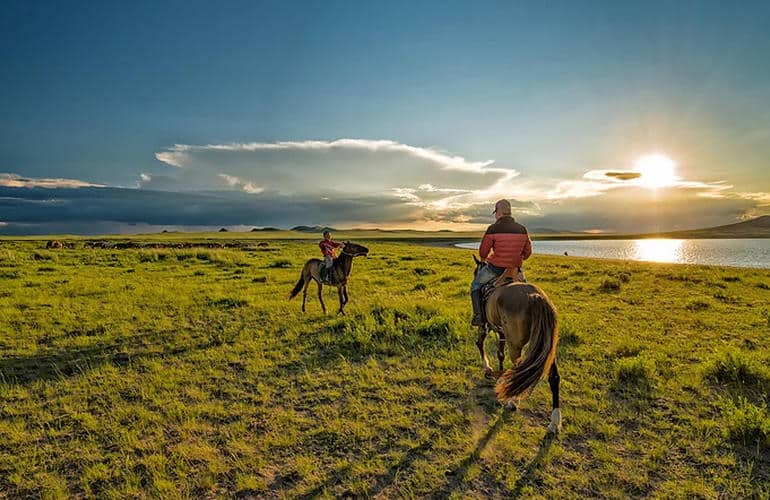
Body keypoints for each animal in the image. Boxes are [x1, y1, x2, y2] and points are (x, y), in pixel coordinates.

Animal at [472, 256, 560, 432]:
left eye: (475, 272)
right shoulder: (501, 332)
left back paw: (512, 402)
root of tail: (535, 297)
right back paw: (554, 421)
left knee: (519, 370)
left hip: (515, 345)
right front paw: (499, 376)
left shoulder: (487, 326)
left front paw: (488, 369)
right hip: (548, 348)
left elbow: (481, 344)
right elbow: (500, 353)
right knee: (554, 376)